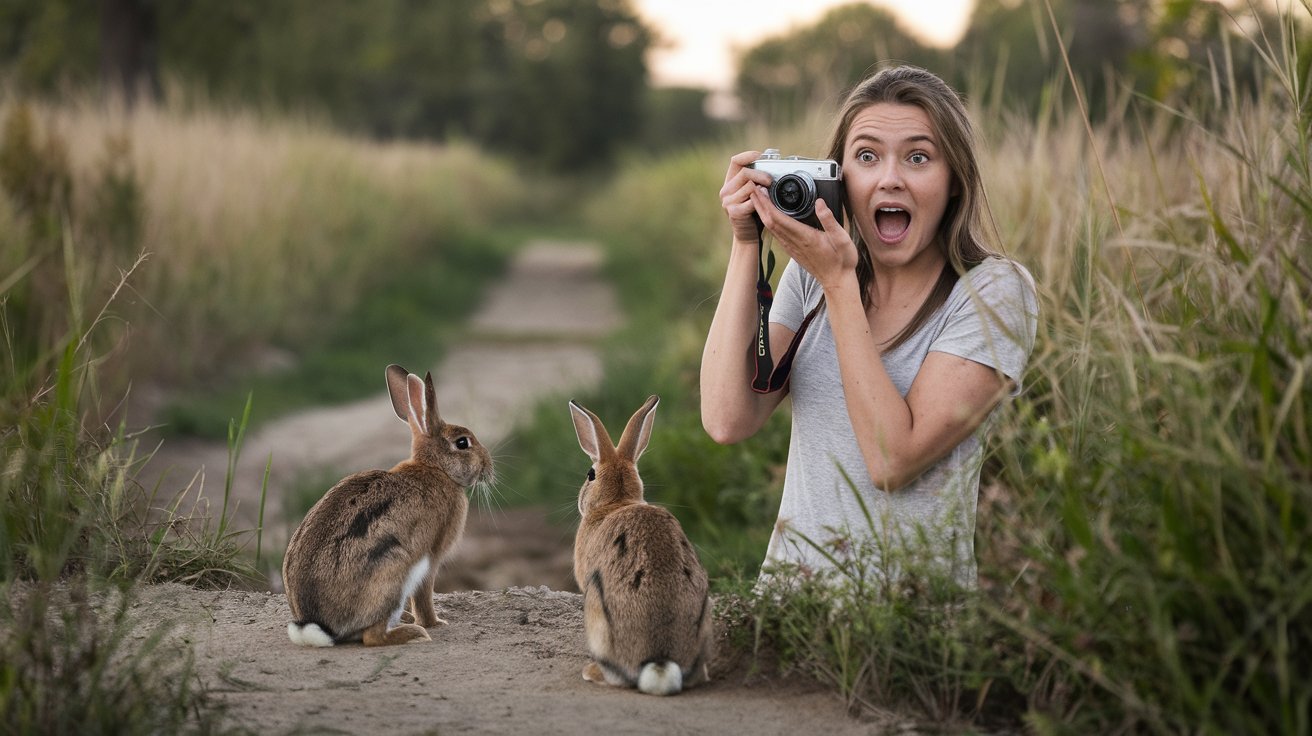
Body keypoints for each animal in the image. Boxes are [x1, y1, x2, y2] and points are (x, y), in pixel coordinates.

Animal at [282, 364, 493, 645]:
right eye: (462, 443)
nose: (488, 466)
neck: (435, 468)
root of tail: (318, 625)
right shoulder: (431, 557)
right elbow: (424, 594)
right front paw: (435, 622)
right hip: (394, 572)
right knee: (373, 636)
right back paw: (414, 633)